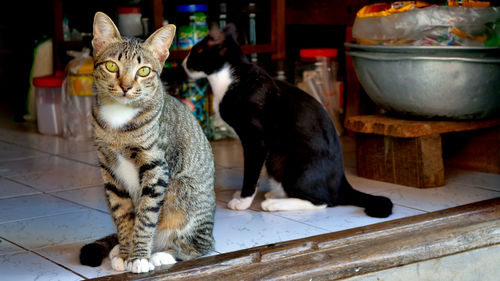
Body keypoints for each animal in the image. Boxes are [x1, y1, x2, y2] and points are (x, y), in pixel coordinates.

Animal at [79, 12, 216, 272]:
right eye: (112, 66)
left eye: (143, 71)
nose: (125, 86)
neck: (119, 119)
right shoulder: (109, 171)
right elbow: (123, 215)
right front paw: (125, 253)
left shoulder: (156, 167)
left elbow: (146, 215)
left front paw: (140, 257)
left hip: (184, 192)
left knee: (201, 245)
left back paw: (162, 254)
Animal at [184, 24, 394, 217]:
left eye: (194, 51)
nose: (183, 63)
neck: (230, 78)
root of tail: (342, 183)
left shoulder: (256, 142)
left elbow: (251, 174)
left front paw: (243, 201)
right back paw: (276, 195)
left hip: (286, 160)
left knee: (323, 201)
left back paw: (274, 204)